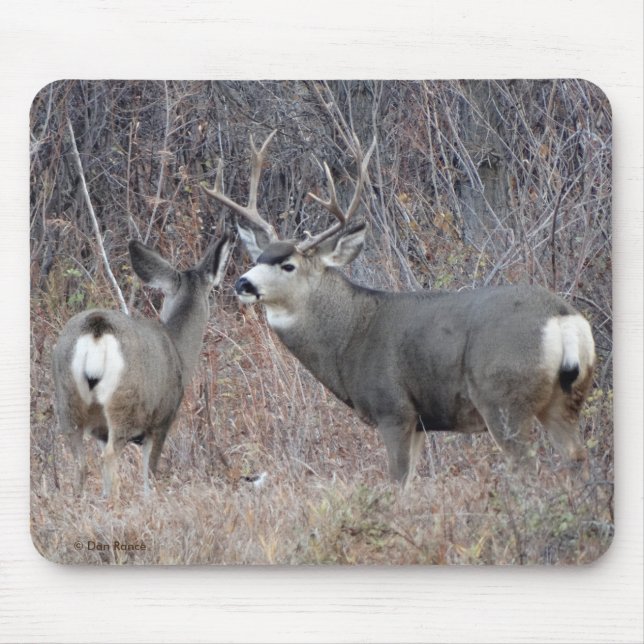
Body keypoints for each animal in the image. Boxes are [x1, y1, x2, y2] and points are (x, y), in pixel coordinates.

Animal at [52, 234, 231, 498]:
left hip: (67, 400)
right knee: (109, 457)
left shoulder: (101, 430)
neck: (178, 350)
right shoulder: (161, 420)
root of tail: (97, 328)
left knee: (80, 464)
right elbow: (150, 476)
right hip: (123, 403)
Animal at [202, 132, 595, 486]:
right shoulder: (420, 422)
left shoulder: (393, 409)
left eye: (288, 265)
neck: (349, 335)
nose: (243, 283)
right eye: (258, 258)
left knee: (528, 467)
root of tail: (564, 320)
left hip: (503, 398)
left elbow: (398, 484)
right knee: (577, 457)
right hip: (565, 398)